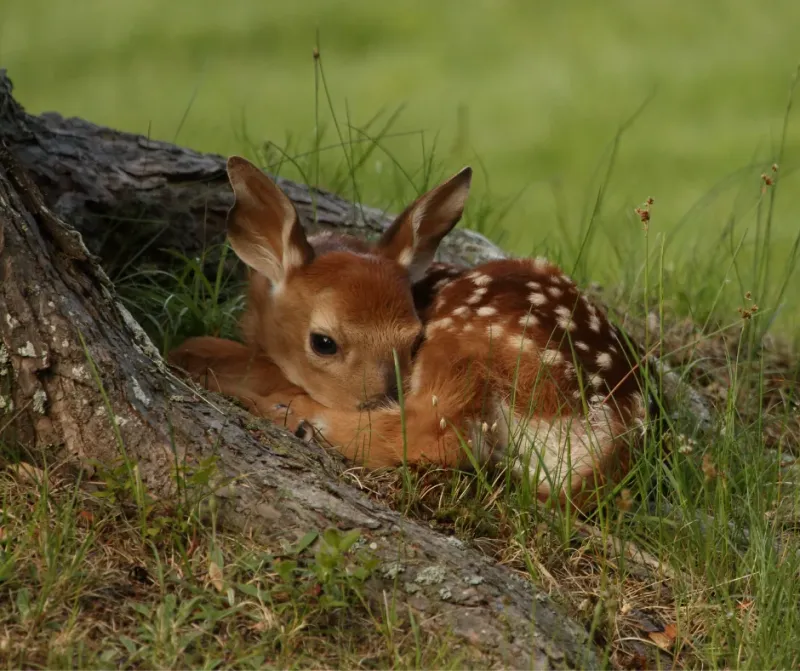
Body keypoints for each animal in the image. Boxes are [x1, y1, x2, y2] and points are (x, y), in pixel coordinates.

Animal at [169, 156, 657, 512]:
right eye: (324, 342)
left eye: (411, 339)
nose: (381, 397)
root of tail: (606, 442)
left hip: (473, 339)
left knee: (439, 434)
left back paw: (290, 414)